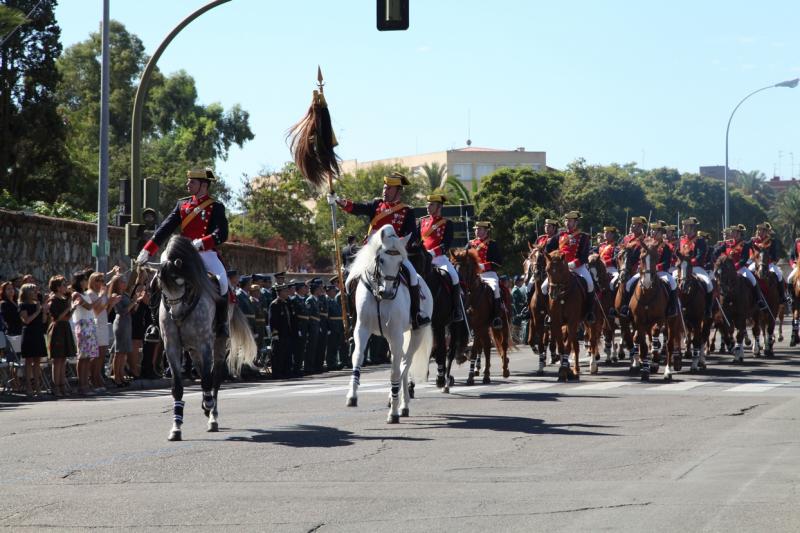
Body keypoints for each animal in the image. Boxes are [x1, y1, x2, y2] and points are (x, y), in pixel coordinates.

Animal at [145, 235, 255, 438]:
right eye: (159, 285)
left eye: (181, 281)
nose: (176, 315)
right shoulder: (172, 346)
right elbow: (177, 387)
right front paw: (176, 426)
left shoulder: (205, 344)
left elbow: (207, 379)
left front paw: (208, 405)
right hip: (192, 348)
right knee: (201, 370)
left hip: (217, 344)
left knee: (215, 377)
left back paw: (212, 415)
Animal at [342, 223, 432, 420]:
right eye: (381, 260)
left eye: (400, 262)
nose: (388, 292)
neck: (378, 295)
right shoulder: (362, 329)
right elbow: (357, 357)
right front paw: (352, 395)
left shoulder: (397, 334)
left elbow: (395, 371)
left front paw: (393, 411)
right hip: (392, 339)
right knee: (402, 364)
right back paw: (402, 403)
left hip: (416, 333)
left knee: (404, 364)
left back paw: (398, 402)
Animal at [446, 247, 510, 384]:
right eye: (453, 265)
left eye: (465, 266)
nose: (458, 285)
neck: (472, 296)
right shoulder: (469, 326)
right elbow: (474, 348)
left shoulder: (478, 326)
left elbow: (475, 350)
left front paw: (470, 376)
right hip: (485, 328)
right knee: (486, 346)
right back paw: (485, 374)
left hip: (502, 324)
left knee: (503, 344)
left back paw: (504, 370)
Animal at [540, 250, 584, 380]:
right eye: (547, 269)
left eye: (561, 270)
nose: (553, 293)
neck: (563, 296)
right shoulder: (556, 321)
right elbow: (561, 346)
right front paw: (564, 369)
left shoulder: (572, 321)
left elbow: (567, 346)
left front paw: (564, 369)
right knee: (575, 345)